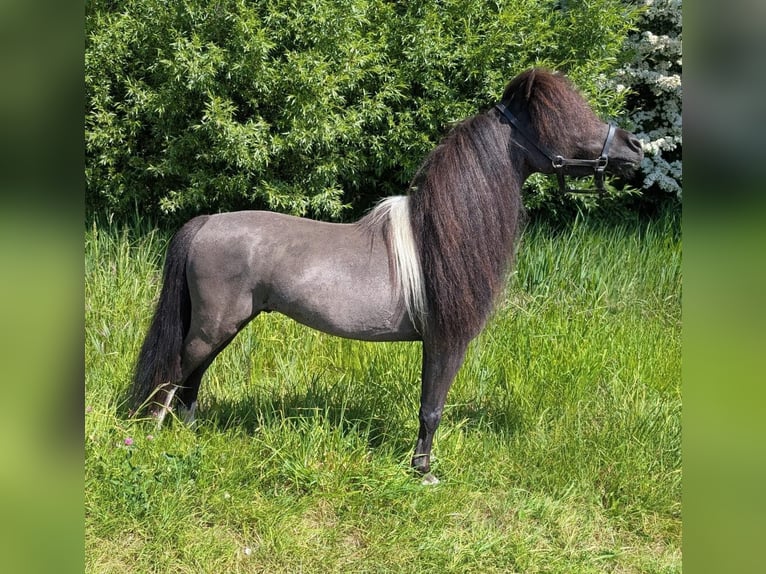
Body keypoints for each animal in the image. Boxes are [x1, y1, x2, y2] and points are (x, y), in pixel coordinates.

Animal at [130, 68, 643, 477]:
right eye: (564, 119)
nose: (635, 148)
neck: (439, 239)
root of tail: (205, 223)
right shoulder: (446, 340)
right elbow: (432, 408)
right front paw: (423, 472)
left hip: (223, 326)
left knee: (191, 377)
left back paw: (190, 433)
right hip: (214, 325)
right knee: (174, 372)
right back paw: (150, 437)